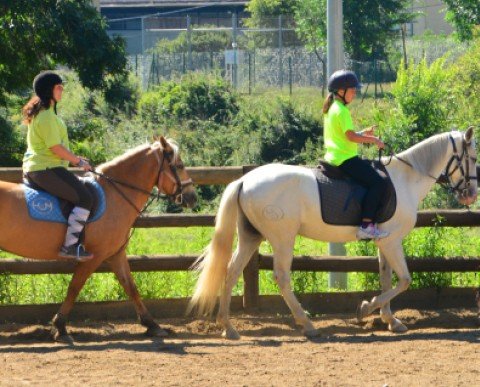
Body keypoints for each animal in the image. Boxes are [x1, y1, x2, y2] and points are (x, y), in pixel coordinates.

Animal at [0, 136, 197, 342]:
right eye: (180, 165)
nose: (193, 197)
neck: (114, 194)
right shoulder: (94, 256)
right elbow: (74, 288)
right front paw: (60, 327)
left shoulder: (116, 255)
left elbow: (131, 287)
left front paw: (152, 325)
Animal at [188, 129, 476, 338]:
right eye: (472, 158)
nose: (471, 194)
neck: (405, 179)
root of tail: (244, 180)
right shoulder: (393, 241)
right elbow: (404, 280)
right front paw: (365, 309)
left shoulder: (384, 243)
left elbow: (386, 279)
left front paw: (390, 320)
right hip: (283, 238)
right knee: (281, 277)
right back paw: (307, 325)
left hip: (251, 236)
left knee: (231, 272)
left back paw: (228, 327)